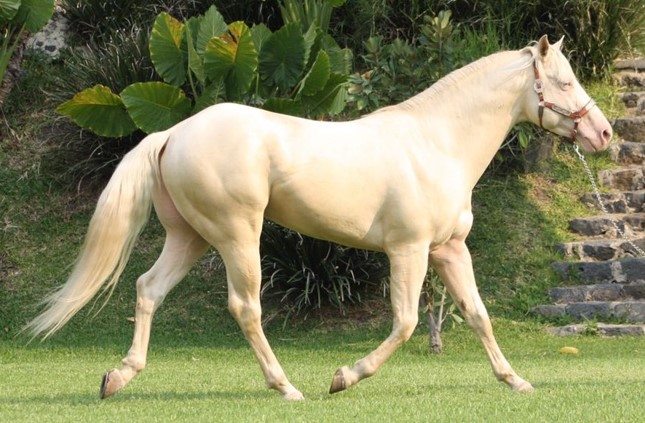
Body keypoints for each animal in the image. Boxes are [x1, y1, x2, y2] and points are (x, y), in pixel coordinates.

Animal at [27, 35, 612, 401]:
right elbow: (405, 322)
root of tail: (174, 131)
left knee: (148, 289)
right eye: (563, 82)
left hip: (190, 237)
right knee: (246, 307)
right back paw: (287, 387)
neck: (436, 142)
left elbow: (477, 315)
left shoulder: (448, 249)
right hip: (237, 236)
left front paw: (516, 382)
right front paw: (345, 377)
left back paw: (118, 378)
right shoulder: (409, 249)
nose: (603, 133)